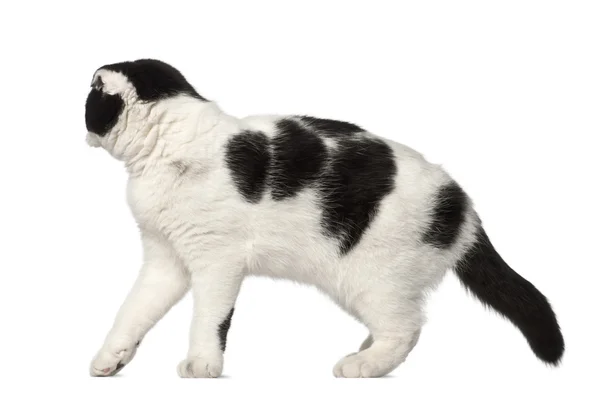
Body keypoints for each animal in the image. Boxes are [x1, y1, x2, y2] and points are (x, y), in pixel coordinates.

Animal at [84, 59, 564, 380]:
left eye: (90, 97)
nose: (81, 118)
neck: (167, 152)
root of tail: (462, 204)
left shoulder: (217, 262)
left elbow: (209, 317)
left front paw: (203, 364)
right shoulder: (165, 260)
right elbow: (133, 311)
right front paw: (112, 357)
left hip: (371, 279)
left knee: (407, 329)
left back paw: (363, 365)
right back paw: (366, 349)